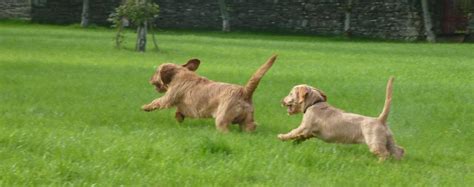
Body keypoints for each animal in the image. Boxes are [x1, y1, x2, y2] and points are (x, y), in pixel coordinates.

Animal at [141, 54, 278, 132]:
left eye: (156, 72)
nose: (149, 80)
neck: (180, 73)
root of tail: (244, 91)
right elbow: (179, 111)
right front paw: (179, 118)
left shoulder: (169, 97)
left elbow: (157, 102)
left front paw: (145, 107)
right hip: (247, 119)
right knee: (251, 126)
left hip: (222, 118)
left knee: (225, 129)